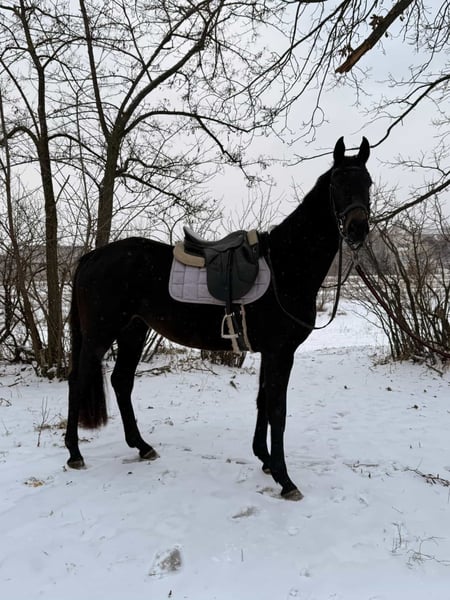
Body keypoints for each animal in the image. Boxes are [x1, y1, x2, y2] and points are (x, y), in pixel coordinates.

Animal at [65, 136, 372, 500]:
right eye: (338, 183)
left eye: (367, 183)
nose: (358, 229)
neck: (287, 264)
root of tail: (92, 257)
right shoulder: (280, 352)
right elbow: (278, 411)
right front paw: (285, 480)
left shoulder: (269, 352)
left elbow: (263, 401)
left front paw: (264, 459)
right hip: (100, 334)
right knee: (78, 380)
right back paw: (74, 453)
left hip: (133, 331)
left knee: (121, 381)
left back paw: (141, 446)